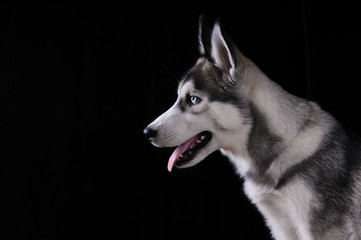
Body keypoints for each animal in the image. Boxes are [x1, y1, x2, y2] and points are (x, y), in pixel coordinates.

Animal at [142, 15, 360, 239]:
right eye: (178, 97)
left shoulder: (325, 231)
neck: (279, 151)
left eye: (193, 99)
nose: (147, 132)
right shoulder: (282, 227)